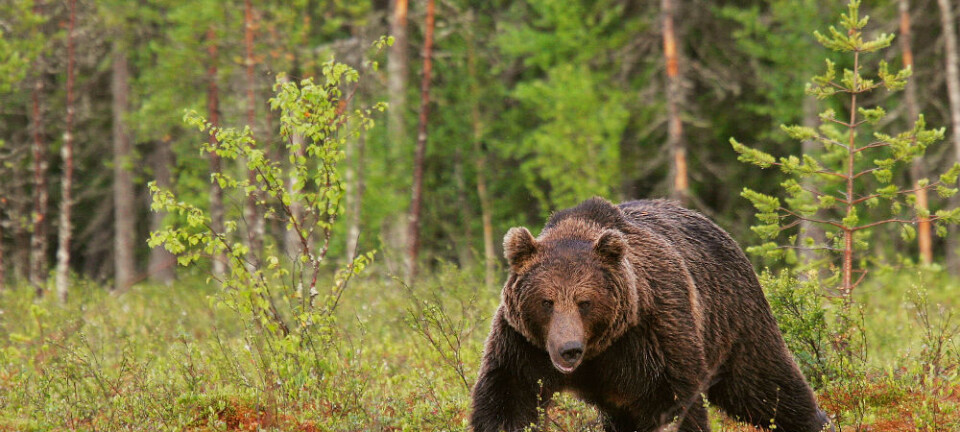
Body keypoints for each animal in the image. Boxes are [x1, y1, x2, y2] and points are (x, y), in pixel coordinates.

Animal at [470, 197, 833, 432]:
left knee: (764, 384)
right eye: (547, 301)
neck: (598, 350)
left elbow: (670, 404)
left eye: (585, 301)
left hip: (734, 317)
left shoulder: (651, 333)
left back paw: (819, 420)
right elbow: (509, 401)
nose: (568, 349)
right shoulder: (524, 346)